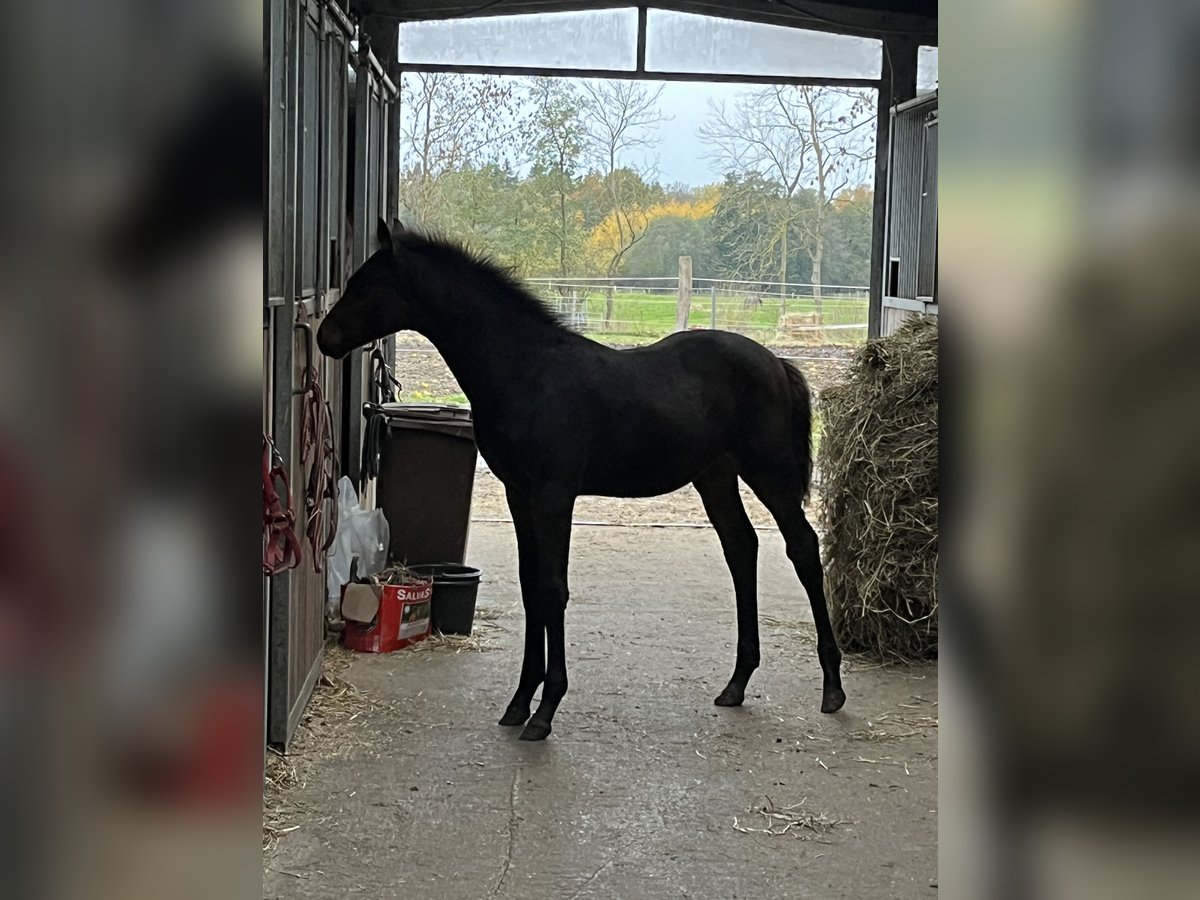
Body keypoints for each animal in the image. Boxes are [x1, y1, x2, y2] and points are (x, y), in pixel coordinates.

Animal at [317, 219, 845, 741]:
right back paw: (736, 683)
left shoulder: (554, 496)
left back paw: (833, 686)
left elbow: (553, 588)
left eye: (366, 284)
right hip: (715, 477)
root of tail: (777, 362)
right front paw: (519, 702)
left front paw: (547, 709)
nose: (325, 337)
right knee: (741, 548)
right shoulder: (519, 494)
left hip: (769, 473)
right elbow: (531, 588)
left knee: (802, 547)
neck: (525, 370)